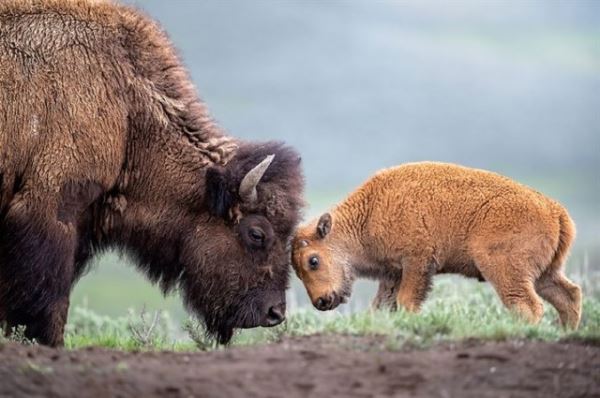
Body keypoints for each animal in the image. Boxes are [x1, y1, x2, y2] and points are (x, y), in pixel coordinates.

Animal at [292, 162, 584, 330]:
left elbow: (406, 301)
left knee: (527, 305)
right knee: (568, 295)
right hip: (545, 274)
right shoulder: (393, 273)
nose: (321, 301)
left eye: (313, 260)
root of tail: (555, 210)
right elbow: (382, 306)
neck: (369, 212)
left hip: (505, 270)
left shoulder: (417, 263)